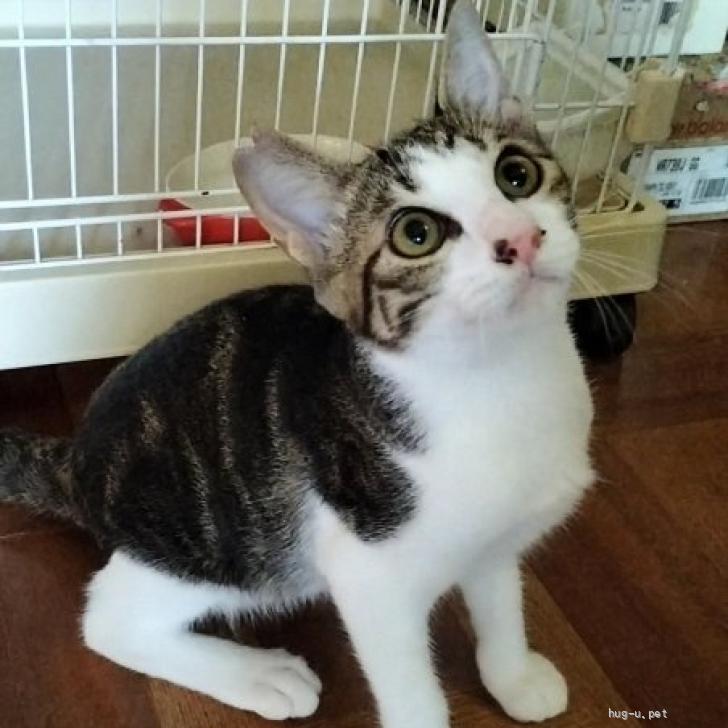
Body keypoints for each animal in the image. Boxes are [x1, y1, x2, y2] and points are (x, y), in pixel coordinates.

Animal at [0, 2, 594, 726]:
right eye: (416, 234)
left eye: (516, 175)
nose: (521, 239)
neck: (500, 378)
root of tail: (78, 460)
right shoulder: (371, 575)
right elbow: (412, 690)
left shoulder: (498, 539)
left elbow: (500, 599)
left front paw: (513, 675)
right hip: (225, 547)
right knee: (109, 619)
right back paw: (258, 675)